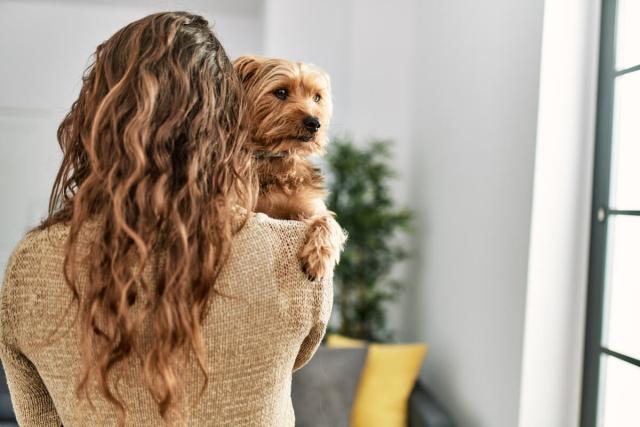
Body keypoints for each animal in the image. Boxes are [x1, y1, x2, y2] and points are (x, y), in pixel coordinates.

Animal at [234, 54, 344, 280]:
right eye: (281, 92)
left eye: (317, 97)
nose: (314, 123)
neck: (273, 160)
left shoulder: (310, 206)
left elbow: (328, 221)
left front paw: (318, 260)